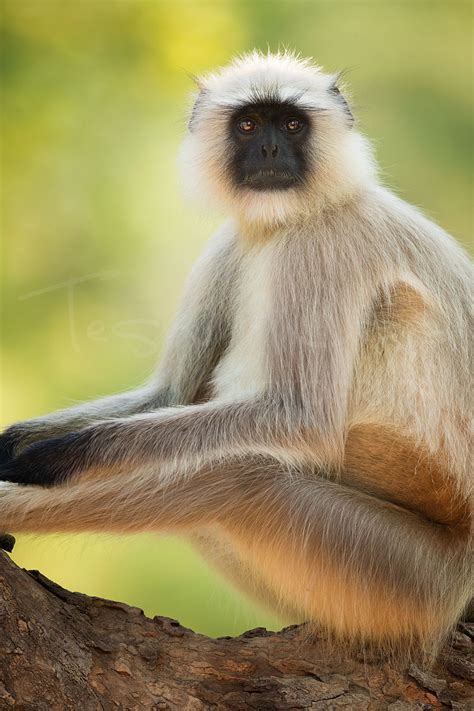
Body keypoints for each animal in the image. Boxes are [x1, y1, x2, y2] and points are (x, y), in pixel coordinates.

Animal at [0, 51, 472, 656]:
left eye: (290, 124)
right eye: (249, 125)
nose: (269, 151)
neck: (294, 216)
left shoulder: (319, 246)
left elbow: (298, 417)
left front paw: (54, 457)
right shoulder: (232, 241)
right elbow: (172, 393)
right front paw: (9, 441)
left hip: (413, 581)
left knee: (237, 478)